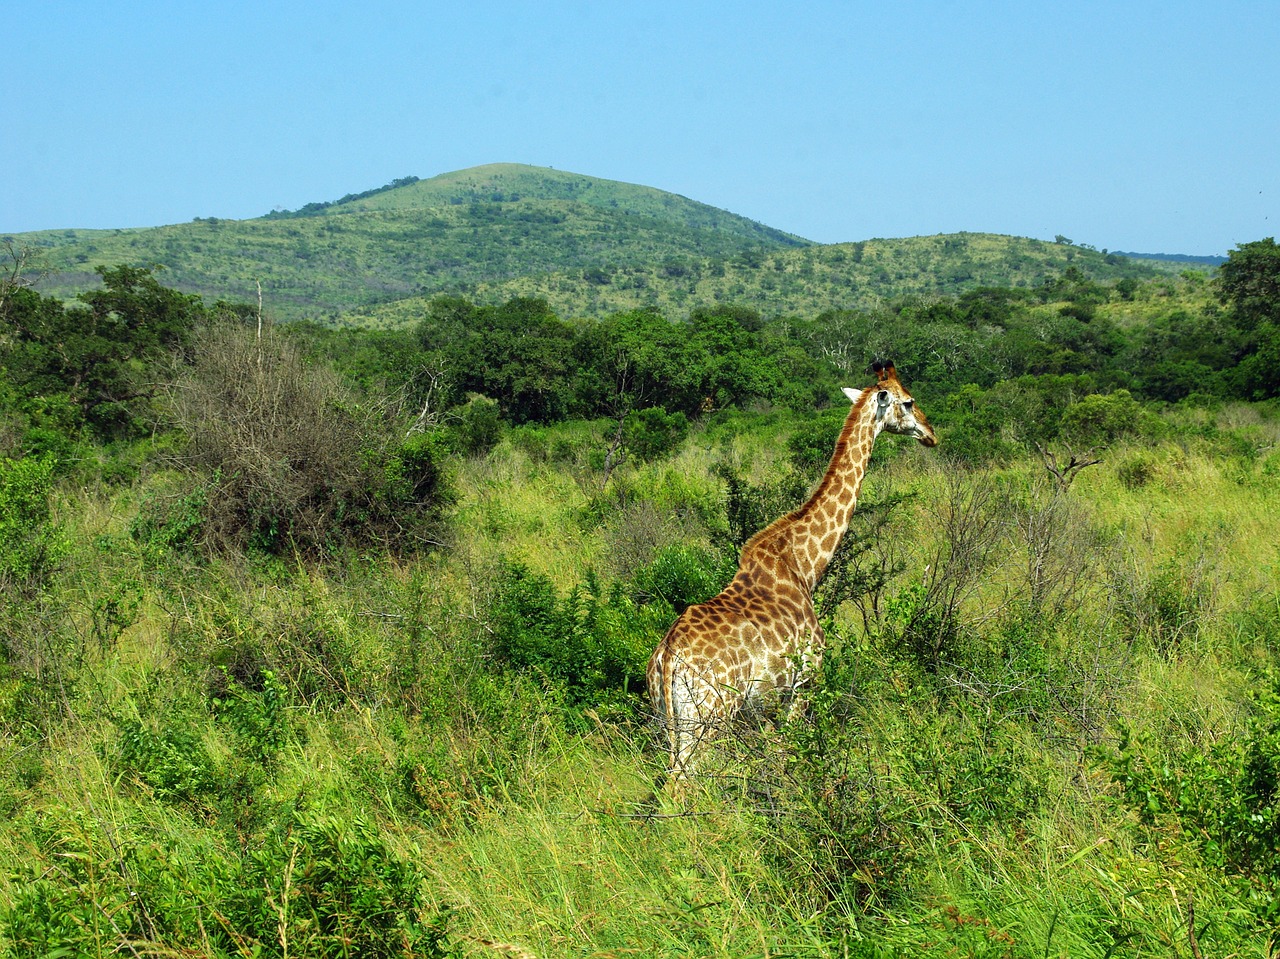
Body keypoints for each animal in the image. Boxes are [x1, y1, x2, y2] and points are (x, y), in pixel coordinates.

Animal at [645, 358, 936, 783]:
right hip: (709, 717)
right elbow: (790, 758)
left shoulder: (764, 706)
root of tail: (667, 661)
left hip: (666, 720)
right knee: (684, 783)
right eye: (909, 402)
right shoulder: (803, 684)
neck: (804, 564)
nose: (931, 434)